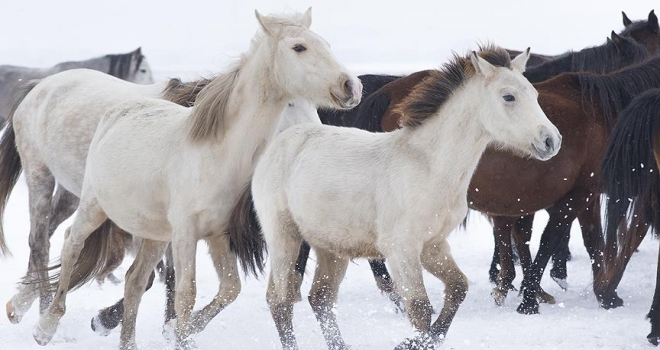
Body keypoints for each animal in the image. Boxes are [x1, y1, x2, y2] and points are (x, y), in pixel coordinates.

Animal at [24, 9, 360, 348]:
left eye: (326, 44)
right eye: (299, 47)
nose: (351, 86)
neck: (216, 153)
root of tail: (121, 110)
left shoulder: (218, 236)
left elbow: (229, 289)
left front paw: (179, 330)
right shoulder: (186, 233)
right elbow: (186, 293)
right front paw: (180, 333)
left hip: (155, 234)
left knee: (134, 280)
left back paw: (125, 340)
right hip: (92, 205)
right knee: (70, 244)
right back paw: (45, 326)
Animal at [231, 44, 564, 350]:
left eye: (534, 94)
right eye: (508, 96)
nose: (551, 140)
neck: (428, 166)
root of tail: (283, 141)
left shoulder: (433, 245)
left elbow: (458, 289)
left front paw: (417, 340)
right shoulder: (401, 250)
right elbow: (420, 308)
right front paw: (411, 341)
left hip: (332, 248)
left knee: (320, 298)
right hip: (284, 237)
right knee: (280, 299)